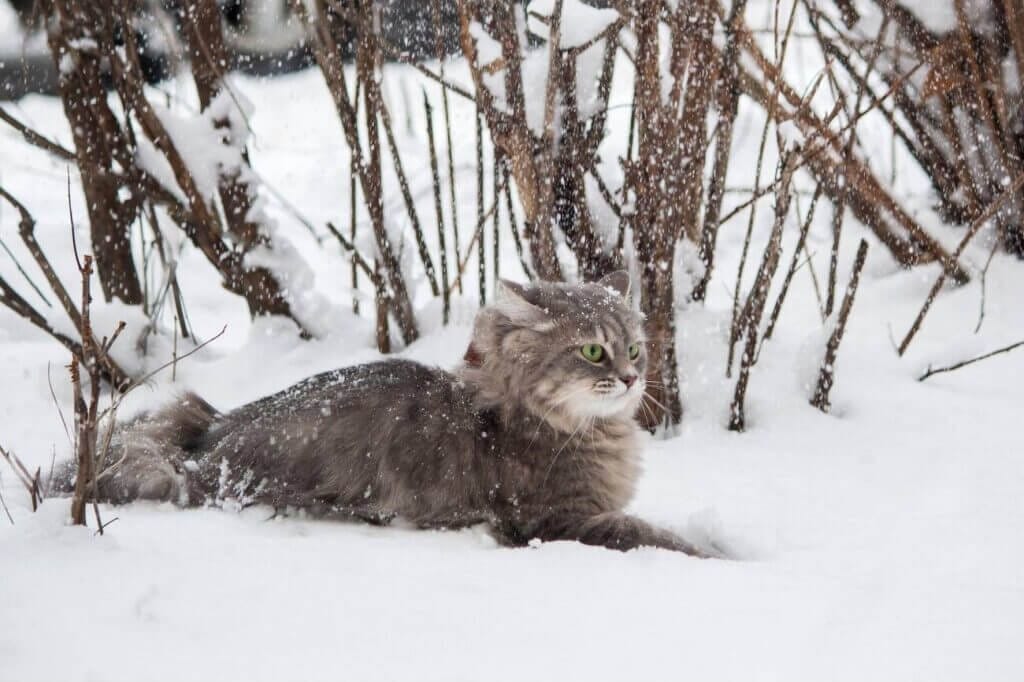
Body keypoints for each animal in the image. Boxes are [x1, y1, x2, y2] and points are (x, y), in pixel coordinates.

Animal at [54, 272, 712, 557]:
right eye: (593, 352)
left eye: (635, 349)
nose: (632, 378)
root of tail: (201, 444)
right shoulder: (555, 521)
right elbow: (656, 536)